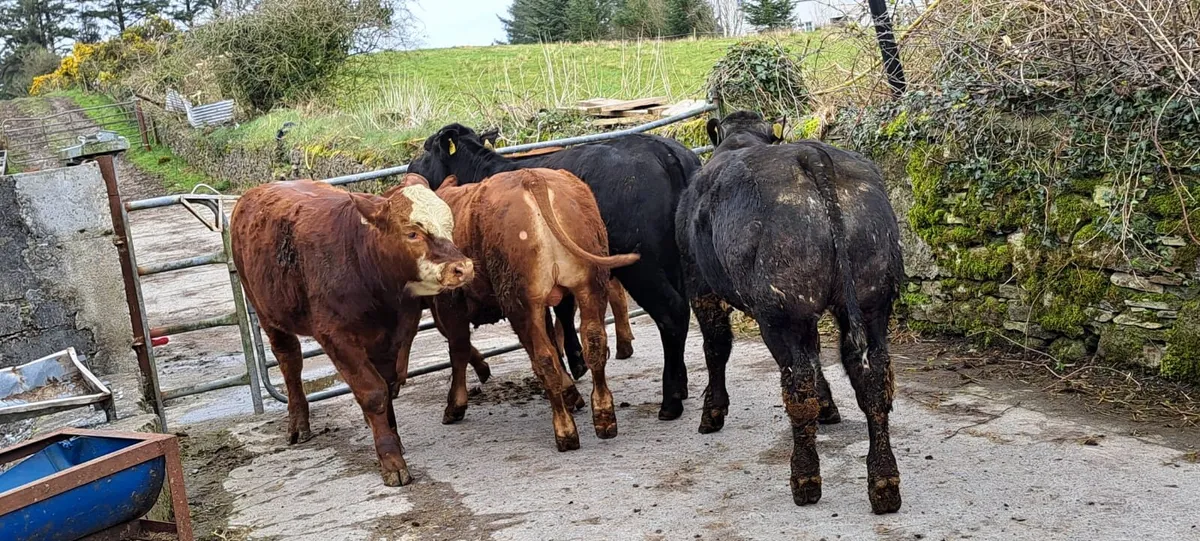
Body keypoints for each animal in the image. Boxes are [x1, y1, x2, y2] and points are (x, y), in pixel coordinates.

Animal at [231, 176, 473, 487]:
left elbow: (387, 385)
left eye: (450, 226)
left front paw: (391, 437)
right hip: (267, 314)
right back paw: (298, 422)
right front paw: (391, 460)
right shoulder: (336, 337)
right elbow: (373, 393)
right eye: (412, 234)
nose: (462, 267)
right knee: (290, 361)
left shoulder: (397, 334)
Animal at [409, 125, 701, 421]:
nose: (411, 168)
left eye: (427, 148)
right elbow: (562, 314)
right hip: (677, 263)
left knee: (671, 313)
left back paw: (670, 401)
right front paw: (575, 362)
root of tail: (664, 151)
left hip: (643, 265)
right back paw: (682, 387)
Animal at [427, 168, 638, 451]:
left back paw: (565, 431)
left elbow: (458, 350)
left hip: (522, 303)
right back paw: (604, 417)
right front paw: (571, 393)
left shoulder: (450, 304)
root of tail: (531, 178)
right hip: (590, 285)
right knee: (593, 342)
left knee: (543, 359)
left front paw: (455, 405)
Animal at [676, 111, 905, 514]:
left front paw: (712, 412)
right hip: (870, 300)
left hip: (781, 313)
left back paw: (805, 478)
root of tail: (810, 155)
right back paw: (883, 482)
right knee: (873, 379)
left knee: (798, 383)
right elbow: (816, 356)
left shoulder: (699, 285)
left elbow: (716, 347)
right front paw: (829, 407)